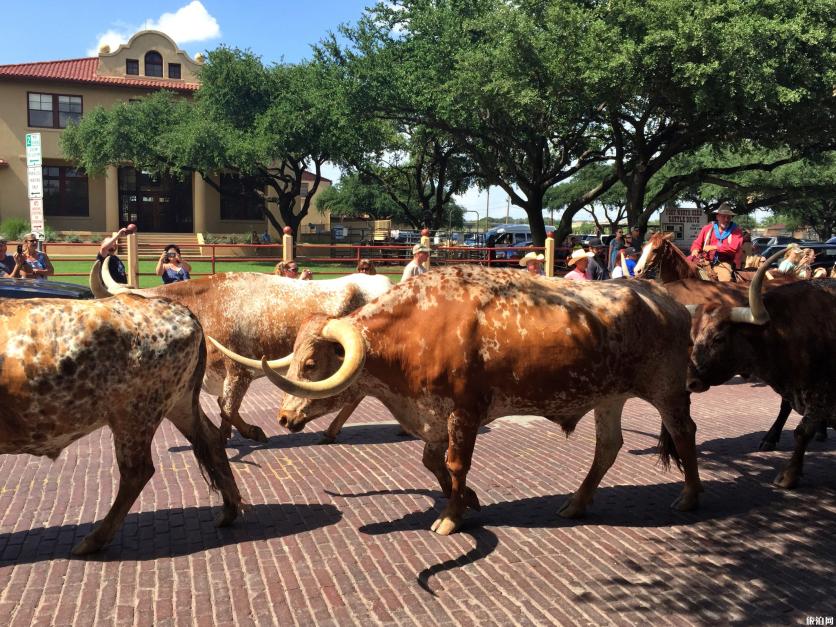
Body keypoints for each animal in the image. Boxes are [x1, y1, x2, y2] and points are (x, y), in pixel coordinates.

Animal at [0, 294, 243, 556]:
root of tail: (173, 306)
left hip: (136, 413)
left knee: (137, 471)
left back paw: (94, 540)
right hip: (180, 402)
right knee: (211, 440)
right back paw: (229, 509)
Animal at [212, 268, 704, 536]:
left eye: (312, 362)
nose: (284, 416)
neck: (415, 331)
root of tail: (667, 299)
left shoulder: (465, 413)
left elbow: (454, 463)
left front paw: (451, 515)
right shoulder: (433, 414)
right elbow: (433, 463)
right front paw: (468, 500)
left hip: (666, 390)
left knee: (684, 434)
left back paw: (689, 497)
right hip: (609, 397)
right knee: (607, 447)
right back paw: (577, 503)